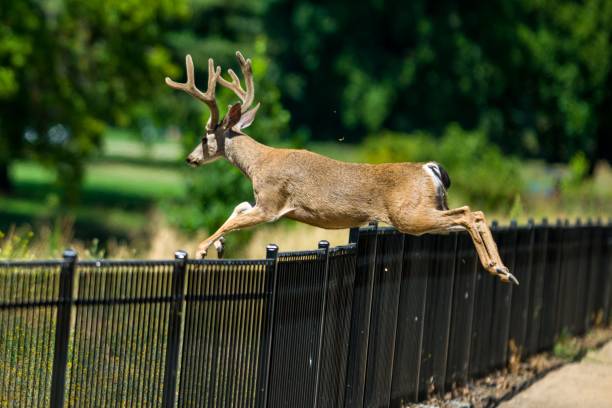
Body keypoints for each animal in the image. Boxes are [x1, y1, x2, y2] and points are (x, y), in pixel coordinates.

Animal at [165, 52, 520, 286]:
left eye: (204, 136)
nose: (189, 159)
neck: (257, 164)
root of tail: (430, 168)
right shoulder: (264, 201)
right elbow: (238, 207)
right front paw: (219, 247)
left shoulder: (272, 202)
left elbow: (236, 218)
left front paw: (201, 250)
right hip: (430, 210)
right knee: (471, 215)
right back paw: (502, 270)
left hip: (409, 214)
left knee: (470, 213)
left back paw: (499, 270)